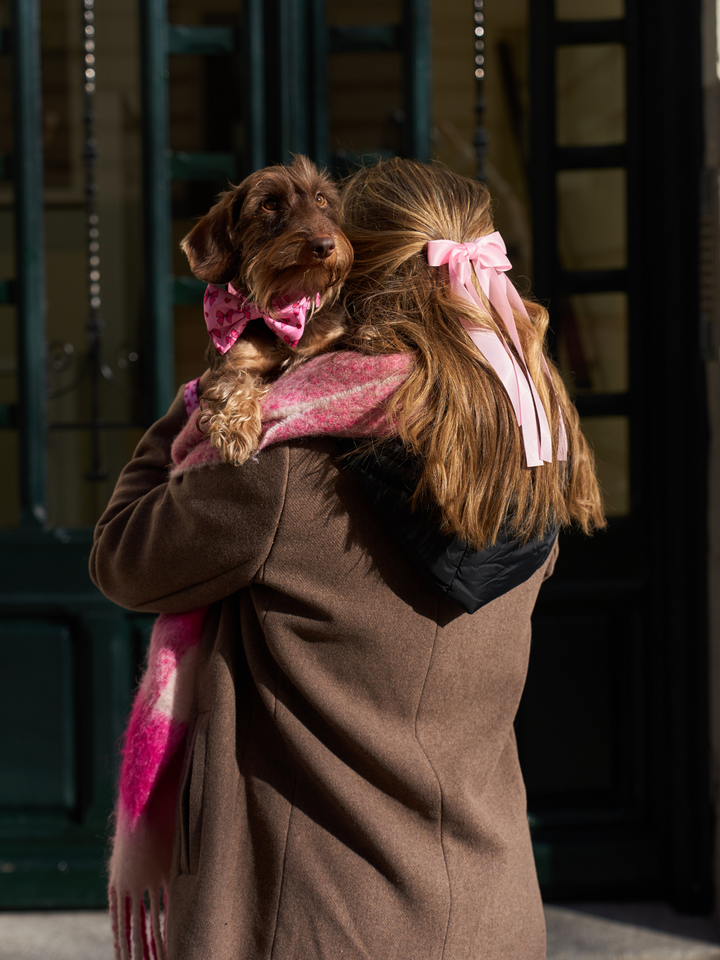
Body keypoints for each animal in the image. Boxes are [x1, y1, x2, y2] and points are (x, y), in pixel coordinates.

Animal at [181, 158, 352, 464]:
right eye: (270, 204)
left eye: (320, 199)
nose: (324, 245)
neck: (280, 305)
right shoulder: (235, 360)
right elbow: (235, 383)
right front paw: (236, 431)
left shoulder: (325, 342)